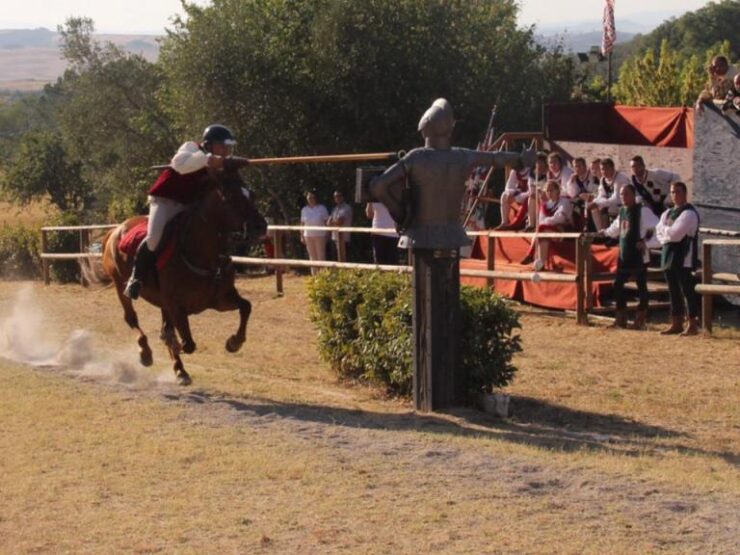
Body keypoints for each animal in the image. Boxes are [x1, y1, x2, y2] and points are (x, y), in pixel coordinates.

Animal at [102, 172, 268, 384]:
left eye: (251, 195)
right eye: (231, 198)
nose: (261, 226)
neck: (204, 257)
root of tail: (115, 230)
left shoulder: (220, 300)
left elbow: (246, 306)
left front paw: (234, 342)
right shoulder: (177, 307)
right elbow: (186, 343)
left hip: (163, 302)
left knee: (164, 328)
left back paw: (180, 370)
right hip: (120, 285)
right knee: (132, 318)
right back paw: (146, 353)